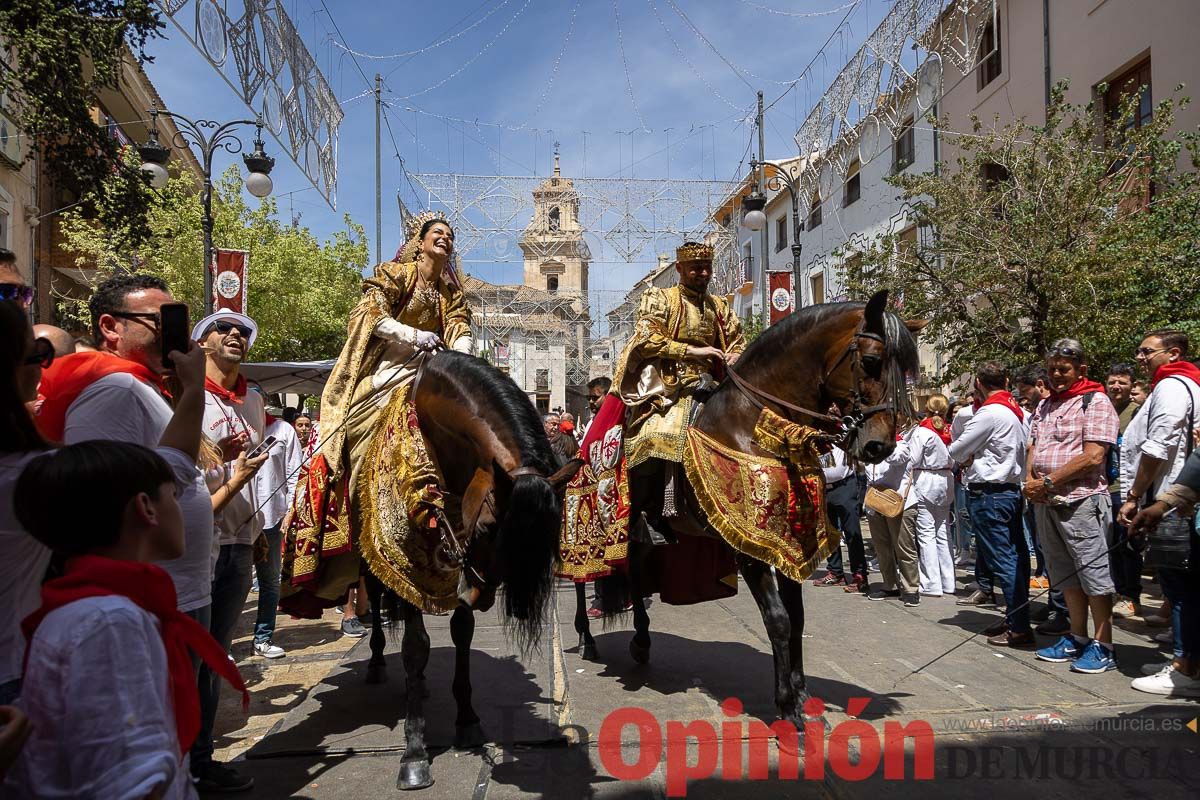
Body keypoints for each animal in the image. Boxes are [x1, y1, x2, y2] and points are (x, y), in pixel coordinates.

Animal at [357, 352, 573, 791]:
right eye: (490, 526)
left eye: (548, 536)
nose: (483, 596)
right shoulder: (410, 565)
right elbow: (416, 646)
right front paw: (414, 753)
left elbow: (462, 633)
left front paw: (468, 719)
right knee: (375, 598)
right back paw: (376, 662)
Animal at [571, 291, 916, 743]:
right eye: (873, 361)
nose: (880, 446)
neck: (758, 426)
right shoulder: (749, 548)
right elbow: (779, 621)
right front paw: (788, 711)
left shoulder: (787, 540)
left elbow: (797, 619)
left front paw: (804, 701)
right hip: (593, 523)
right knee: (582, 576)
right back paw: (586, 637)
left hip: (637, 533)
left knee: (636, 573)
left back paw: (641, 642)